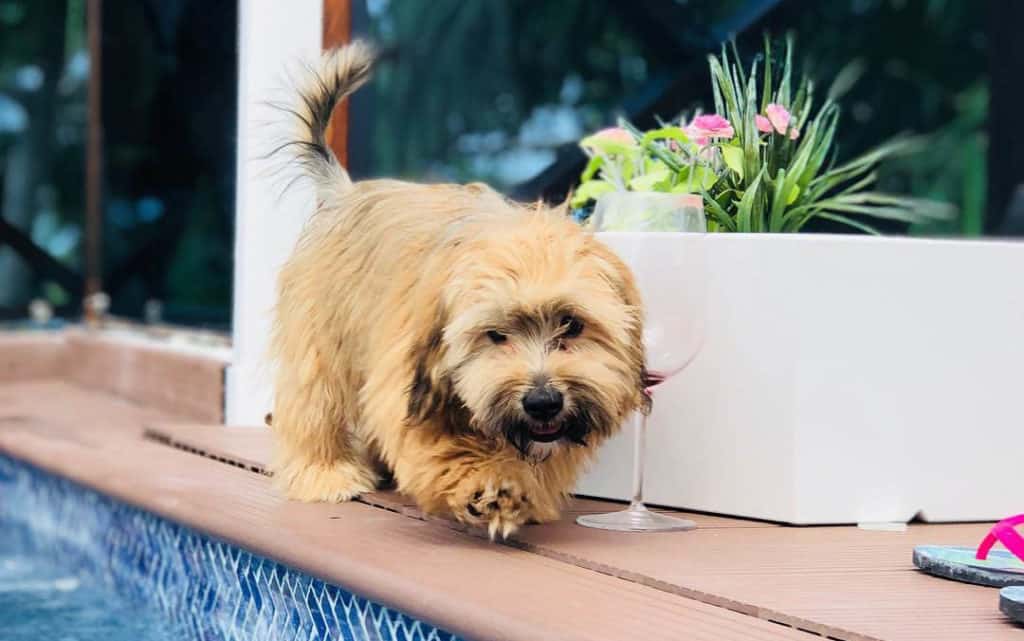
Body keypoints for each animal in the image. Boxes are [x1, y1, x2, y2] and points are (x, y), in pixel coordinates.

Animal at [268, 42, 643, 536]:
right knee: (315, 405)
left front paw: (527, 493)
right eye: (495, 335)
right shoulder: (407, 381)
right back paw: (326, 474)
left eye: (572, 325)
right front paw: (490, 488)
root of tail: (343, 191)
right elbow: (445, 448)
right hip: (322, 340)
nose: (543, 402)